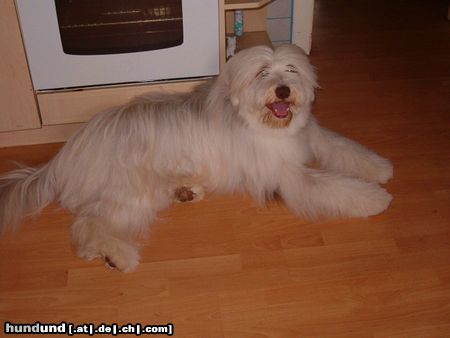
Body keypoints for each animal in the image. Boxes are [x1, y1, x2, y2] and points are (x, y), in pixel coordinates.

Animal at [0, 45, 392, 272]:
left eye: (291, 70)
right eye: (262, 73)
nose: (283, 90)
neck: (264, 123)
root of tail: (64, 155)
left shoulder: (311, 135)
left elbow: (344, 148)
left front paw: (381, 168)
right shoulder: (287, 174)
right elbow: (334, 185)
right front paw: (376, 198)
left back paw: (187, 192)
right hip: (129, 190)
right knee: (89, 223)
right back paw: (116, 256)